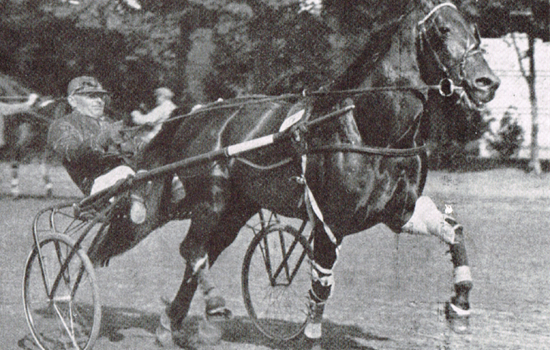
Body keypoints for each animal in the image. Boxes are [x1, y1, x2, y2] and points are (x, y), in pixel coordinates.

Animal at [87, 0, 500, 344]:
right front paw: (311, 335)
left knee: (203, 253)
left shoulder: (399, 212)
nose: (488, 82)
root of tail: (199, 112)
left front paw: (460, 302)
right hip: (210, 199)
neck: (369, 127)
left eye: (476, 30)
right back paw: (209, 308)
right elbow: (321, 284)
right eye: (442, 29)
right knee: (192, 250)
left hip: (236, 208)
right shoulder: (330, 221)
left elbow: (454, 232)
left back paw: (174, 323)